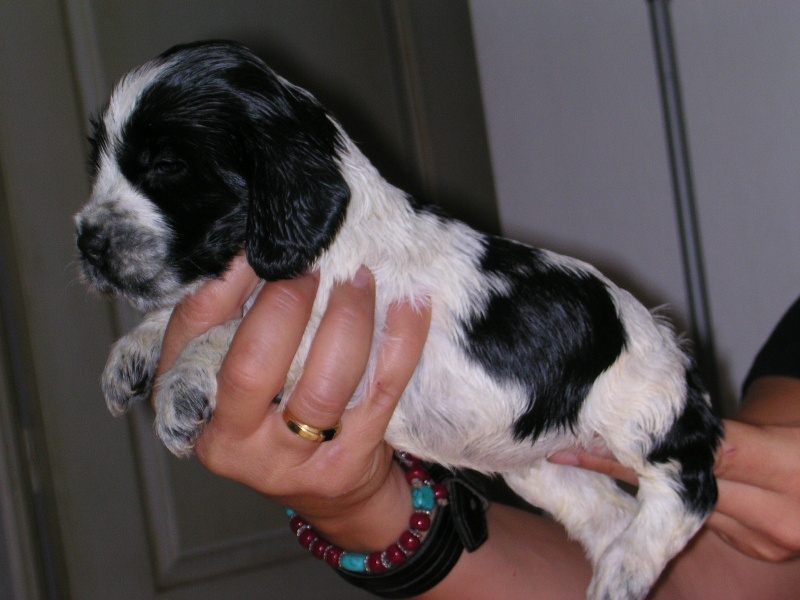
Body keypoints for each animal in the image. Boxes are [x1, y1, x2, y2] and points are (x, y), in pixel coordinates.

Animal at [75, 40, 722, 600]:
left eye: (166, 166)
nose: (86, 242)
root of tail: (672, 343)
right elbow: (189, 313)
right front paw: (134, 351)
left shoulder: (345, 332)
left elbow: (228, 330)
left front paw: (183, 381)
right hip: (539, 466)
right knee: (608, 509)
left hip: (639, 410)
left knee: (687, 485)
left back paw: (626, 568)